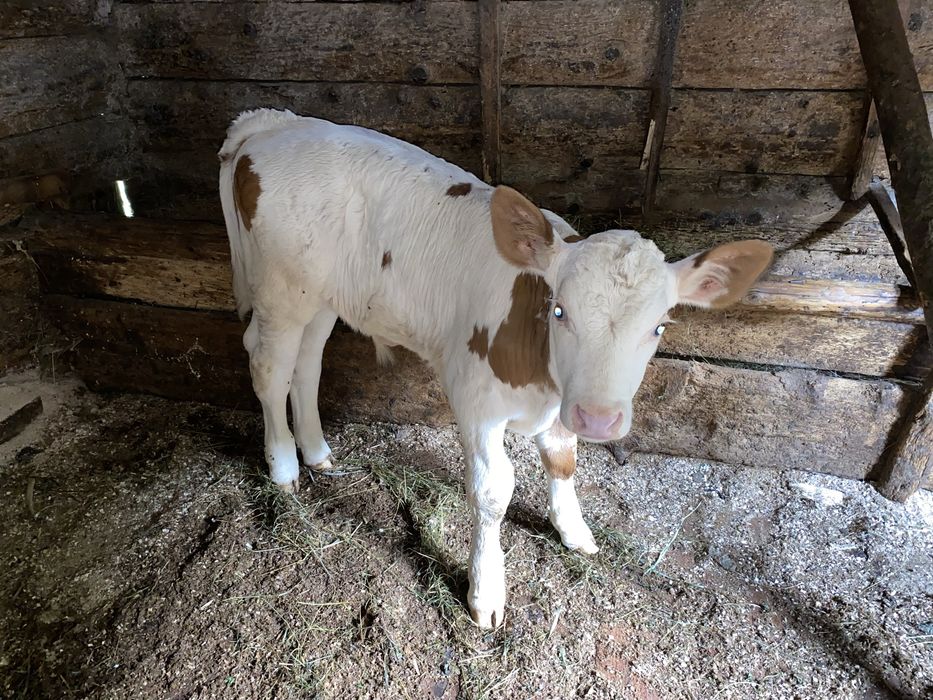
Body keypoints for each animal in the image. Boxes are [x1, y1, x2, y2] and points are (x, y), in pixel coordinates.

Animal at [218, 109, 773, 628]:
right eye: (559, 311)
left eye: (659, 326)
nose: (598, 418)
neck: (539, 371)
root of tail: (273, 125)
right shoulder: (476, 399)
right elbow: (491, 492)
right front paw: (486, 591)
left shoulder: (563, 399)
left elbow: (562, 461)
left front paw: (574, 530)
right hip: (280, 289)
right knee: (269, 366)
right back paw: (284, 467)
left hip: (321, 297)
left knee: (307, 363)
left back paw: (316, 452)